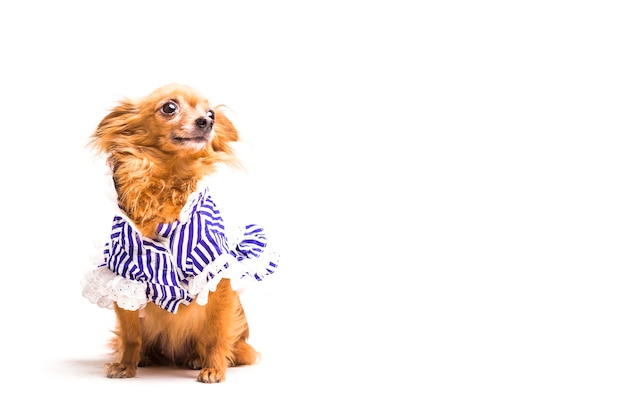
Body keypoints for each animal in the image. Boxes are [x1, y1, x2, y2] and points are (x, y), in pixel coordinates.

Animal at [81, 83, 276, 382]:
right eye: (169, 107)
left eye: (211, 113)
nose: (207, 121)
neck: (167, 182)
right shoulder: (123, 277)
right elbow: (130, 336)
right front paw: (126, 365)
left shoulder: (216, 275)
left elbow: (216, 333)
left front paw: (214, 368)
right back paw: (146, 357)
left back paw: (198, 359)